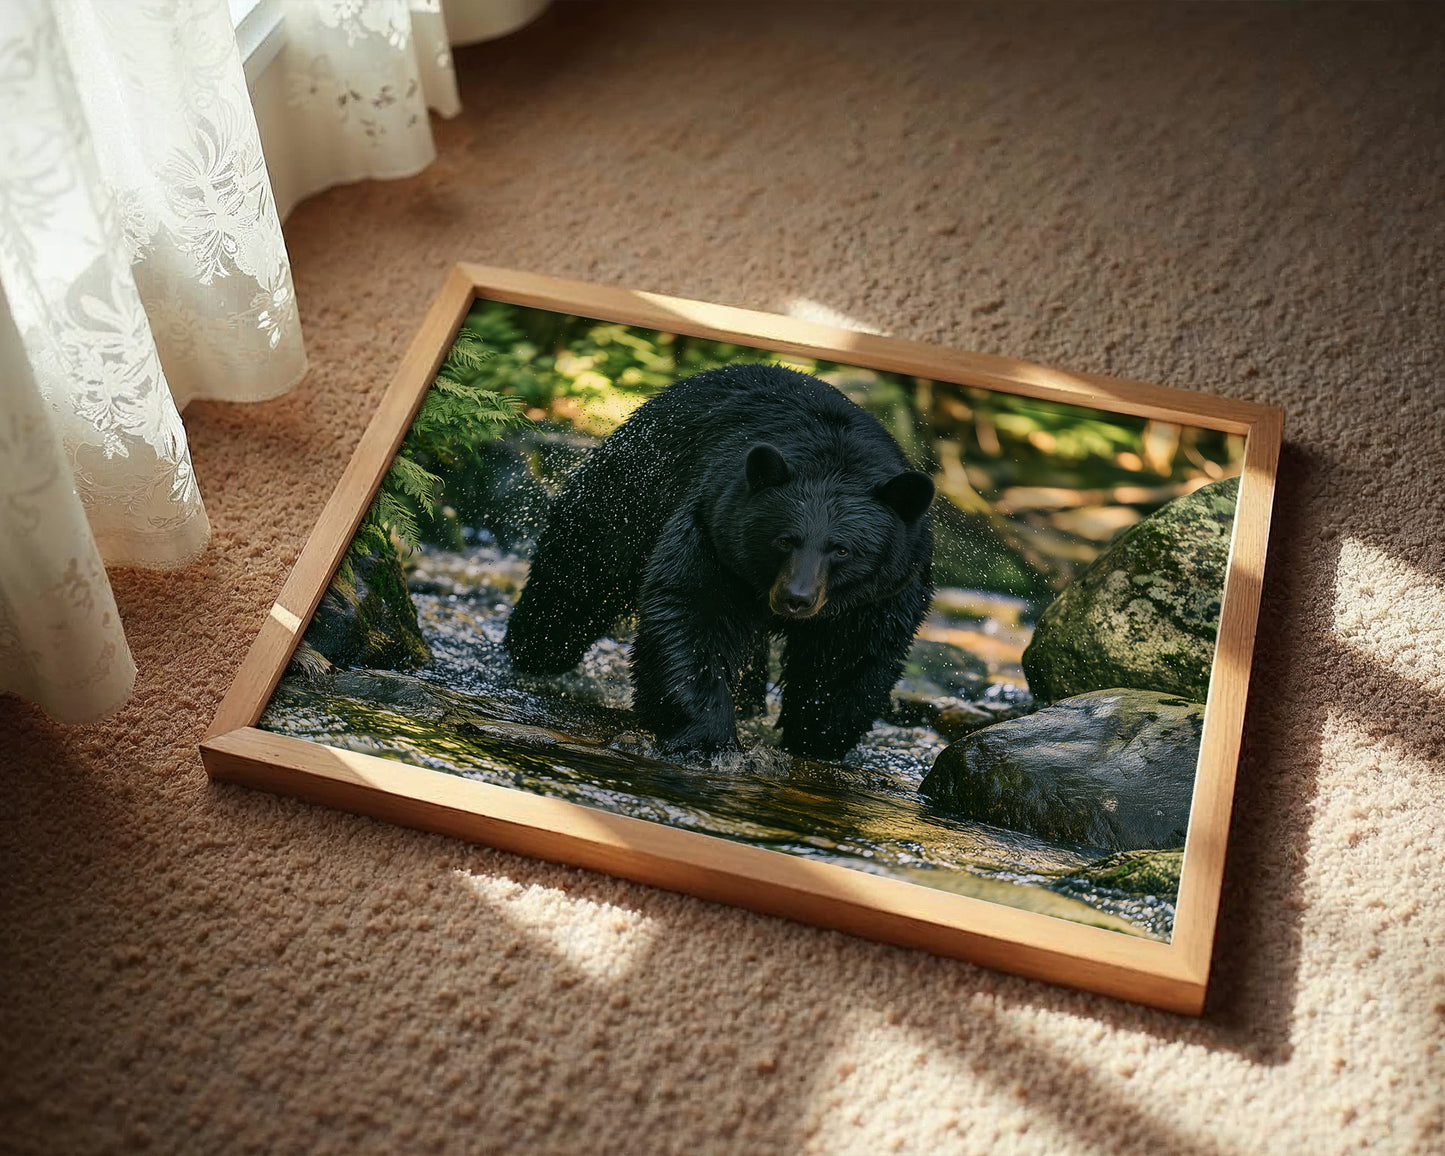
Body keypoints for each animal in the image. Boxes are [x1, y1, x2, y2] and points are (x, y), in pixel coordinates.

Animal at [503, 362, 935, 759]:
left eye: (842, 549)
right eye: (784, 540)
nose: (796, 599)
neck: (835, 456)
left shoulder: (880, 593)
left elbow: (848, 657)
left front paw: (817, 737)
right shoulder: (714, 532)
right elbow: (695, 614)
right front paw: (706, 737)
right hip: (632, 489)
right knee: (580, 572)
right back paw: (534, 651)